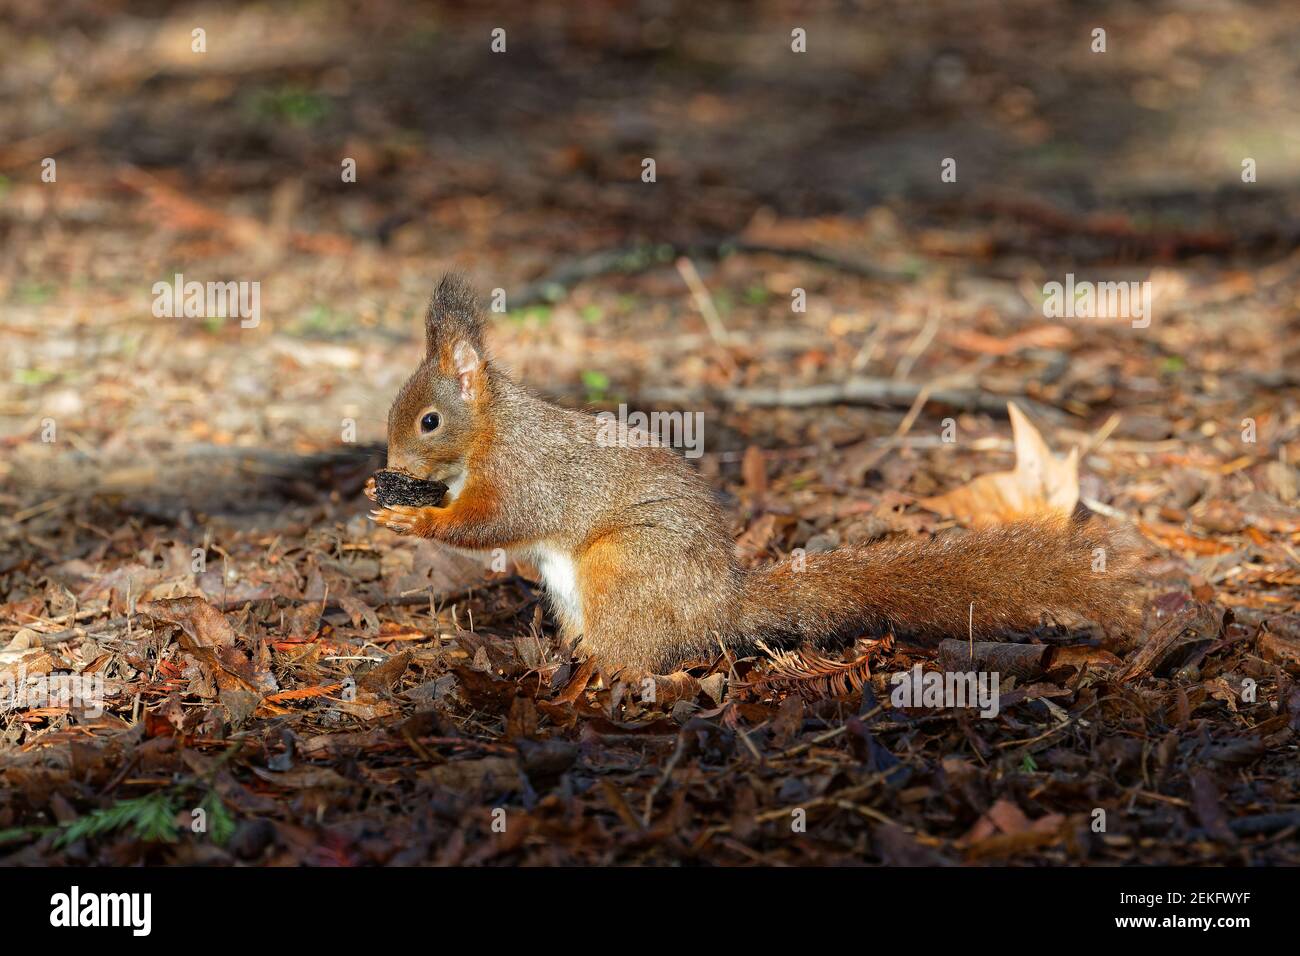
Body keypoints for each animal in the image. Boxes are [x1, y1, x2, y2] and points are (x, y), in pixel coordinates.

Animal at [369, 277, 1138, 676]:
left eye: (429, 421)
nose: (392, 469)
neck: (491, 429)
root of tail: (718, 610)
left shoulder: (526, 474)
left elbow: (494, 521)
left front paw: (414, 516)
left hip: (624, 568)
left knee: (635, 658)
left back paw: (584, 679)